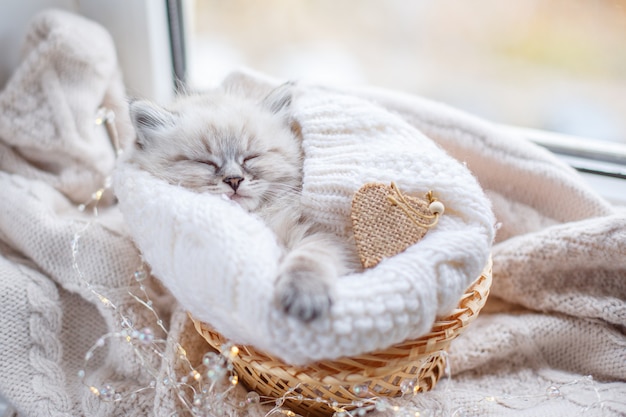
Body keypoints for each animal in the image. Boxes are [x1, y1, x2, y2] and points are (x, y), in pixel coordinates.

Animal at [126, 83, 352, 320]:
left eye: (251, 157)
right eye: (205, 162)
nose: (234, 180)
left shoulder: (317, 232)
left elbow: (309, 258)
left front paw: (304, 293)